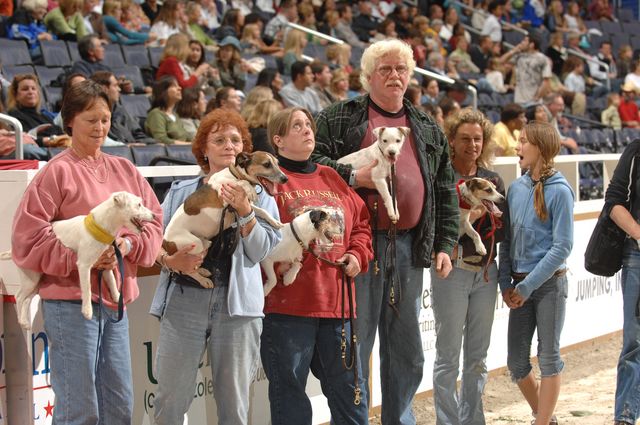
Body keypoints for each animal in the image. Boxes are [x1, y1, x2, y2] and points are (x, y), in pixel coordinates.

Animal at [162, 150, 288, 288]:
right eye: (266, 164)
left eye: (277, 163)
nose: (285, 179)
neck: (236, 175)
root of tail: (165, 242)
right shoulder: (225, 197)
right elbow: (242, 184)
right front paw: (250, 189)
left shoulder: (243, 206)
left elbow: (261, 211)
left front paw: (274, 221)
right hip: (194, 245)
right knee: (186, 270)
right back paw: (203, 280)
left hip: (204, 244)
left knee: (191, 266)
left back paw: (202, 271)